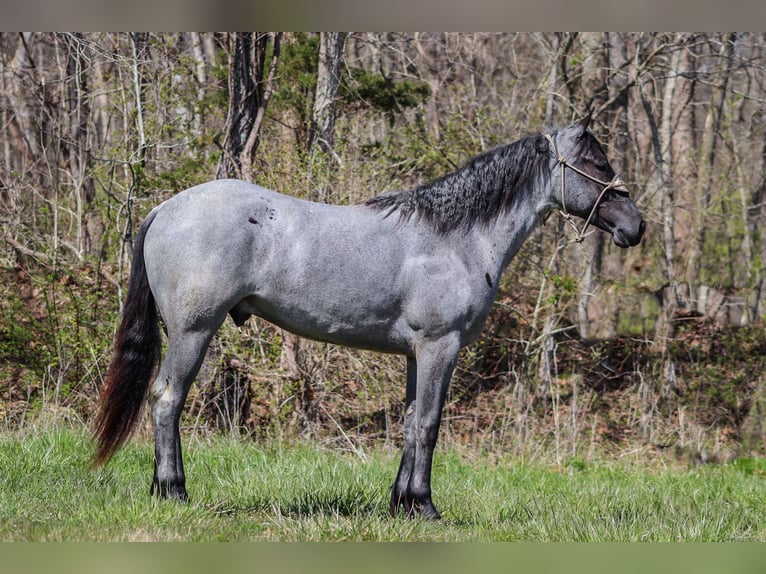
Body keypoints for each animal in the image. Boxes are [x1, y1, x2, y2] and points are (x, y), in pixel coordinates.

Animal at [91, 116, 648, 520]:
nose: (636, 226)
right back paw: (172, 490)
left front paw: (400, 503)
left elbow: (409, 422)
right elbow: (429, 423)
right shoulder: (440, 346)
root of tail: (165, 209)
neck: (456, 238)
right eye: (595, 163)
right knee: (167, 400)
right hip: (194, 331)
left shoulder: (416, 354)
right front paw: (424, 506)